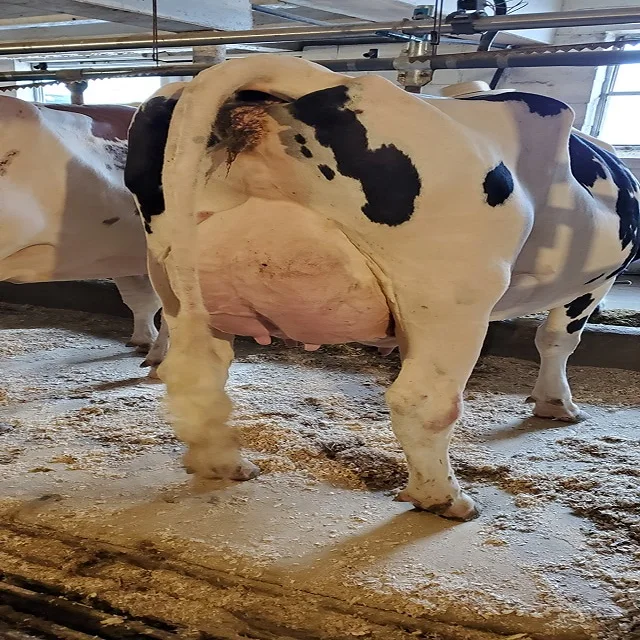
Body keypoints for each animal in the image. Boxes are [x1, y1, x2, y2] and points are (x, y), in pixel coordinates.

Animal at [124, 56, 640, 521]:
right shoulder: (597, 281)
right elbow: (557, 340)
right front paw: (555, 403)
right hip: (451, 293)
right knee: (423, 402)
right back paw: (445, 499)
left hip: (175, 275)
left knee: (197, 373)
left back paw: (222, 464)